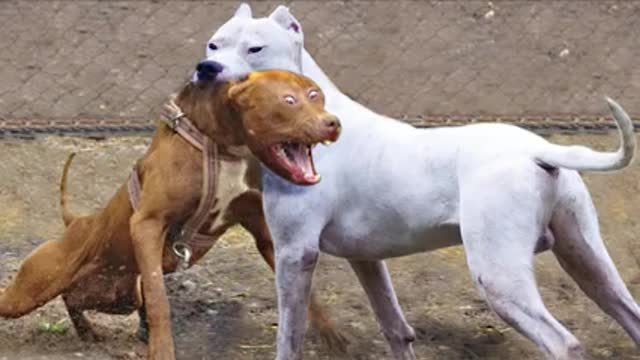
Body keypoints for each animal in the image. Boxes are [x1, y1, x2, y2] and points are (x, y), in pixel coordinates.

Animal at [0, 69, 340, 358]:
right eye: (289, 100)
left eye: (316, 95)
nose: (333, 122)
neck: (223, 146)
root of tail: (76, 222)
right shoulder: (148, 224)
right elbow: (159, 300)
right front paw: (162, 350)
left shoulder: (262, 233)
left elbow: (306, 292)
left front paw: (332, 334)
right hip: (31, 290)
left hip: (117, 295)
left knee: (72, 298)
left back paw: (87, 332)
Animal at [200, 3, 640, 360]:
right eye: (213, 46)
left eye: (255, 49)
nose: (207, 69)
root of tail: (538, 150)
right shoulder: (366, 260)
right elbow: (395, 328)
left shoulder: (295, 254)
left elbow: (290, 337)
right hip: (587, 261)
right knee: (629, 315)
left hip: (500, 278)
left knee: (564, 343)